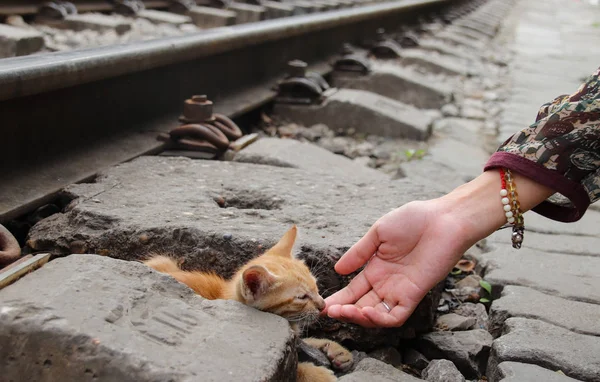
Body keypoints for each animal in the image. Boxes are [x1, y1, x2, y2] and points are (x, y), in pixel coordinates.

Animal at [144, 225, 352, 380]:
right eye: (302, 297)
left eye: (316, 286)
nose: (323, 305)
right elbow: (293, 368)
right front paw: (315, 373)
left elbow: (306, 341)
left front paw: (334, 349)